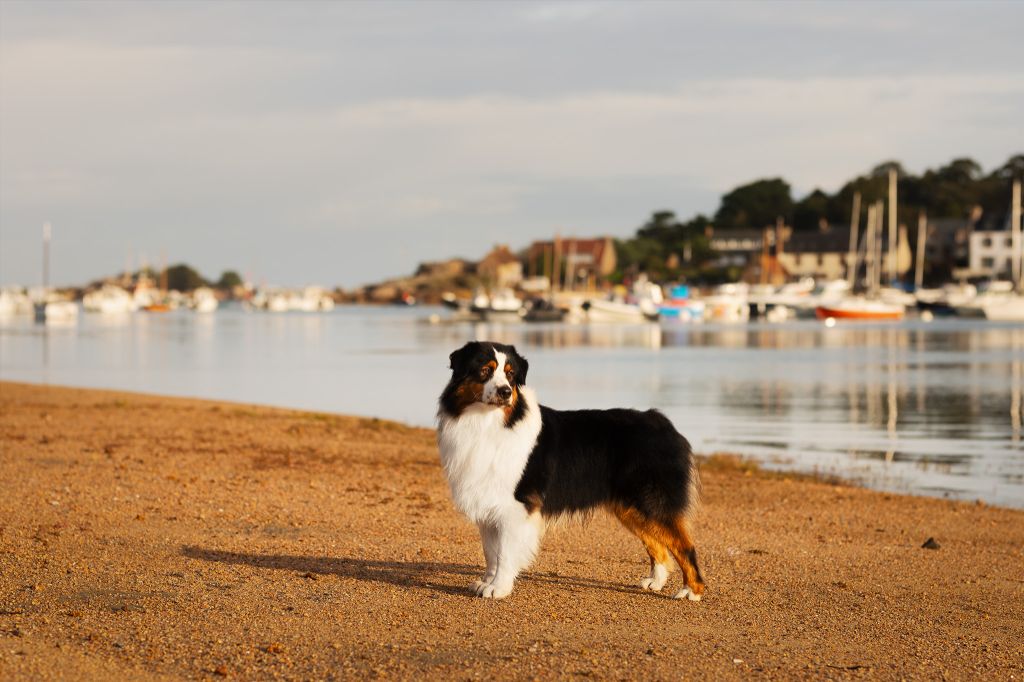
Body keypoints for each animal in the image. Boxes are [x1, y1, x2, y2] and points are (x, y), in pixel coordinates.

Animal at [432, 339, 704, 602]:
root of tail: (662, 421)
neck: (489, 422)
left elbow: (505, 553)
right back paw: (656, 581)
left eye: (510, 375)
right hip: (632, 507)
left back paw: (692, 591)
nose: (505, 392)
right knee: (658, 544)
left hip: (653, 502)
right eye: (485, 370)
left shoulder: (516, 506)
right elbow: (491, 552)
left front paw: (498, 588)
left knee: (685, 545)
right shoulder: (489, 504)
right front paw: (487, 582)